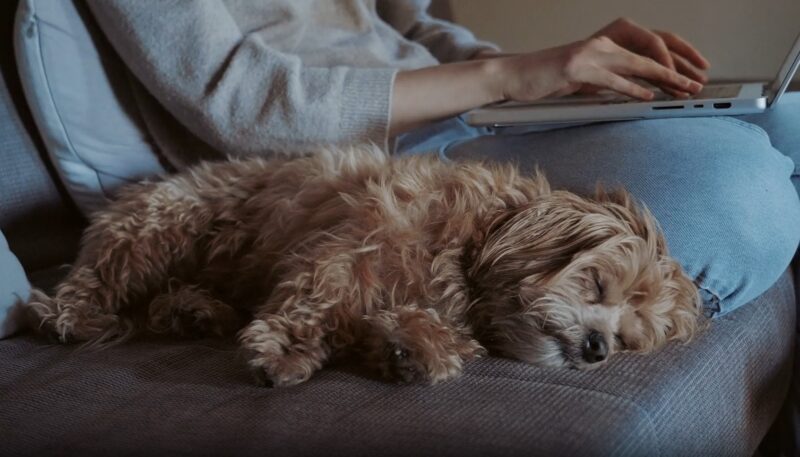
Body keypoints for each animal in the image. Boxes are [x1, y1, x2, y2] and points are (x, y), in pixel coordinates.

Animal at [25, 146, 700, 384]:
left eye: (627, 337)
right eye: (597, 281)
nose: (597, 348)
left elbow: (430, 335)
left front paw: (410, 348)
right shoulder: (351, 249)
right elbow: (319, 297)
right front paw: (289, 348)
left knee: (161, 301)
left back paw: (194, 311)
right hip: (163, 223)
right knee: (97, 280)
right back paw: (72, 314)